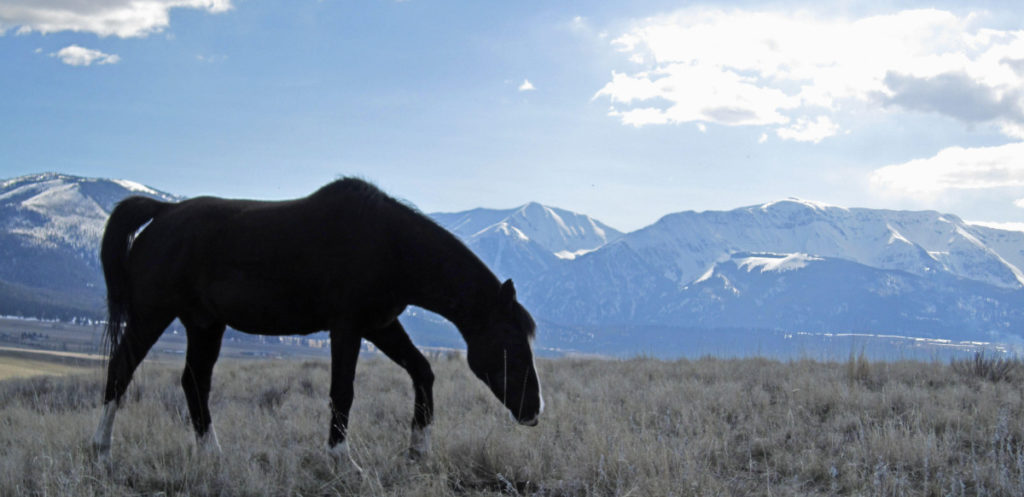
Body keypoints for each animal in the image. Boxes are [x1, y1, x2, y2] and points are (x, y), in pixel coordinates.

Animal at [92, 178, 544, 469]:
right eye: (510, 342)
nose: (535, 409)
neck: (391, 246)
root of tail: (164, 211)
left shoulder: (380, 325)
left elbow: (422, 372)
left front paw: (418, 451)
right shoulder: (347, 327)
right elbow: (342, 392)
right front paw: (342, 463)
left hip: (205, 325)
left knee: (194, 383)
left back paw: (212, 456)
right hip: (152, 315)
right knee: (120, 372)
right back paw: (101, 453)